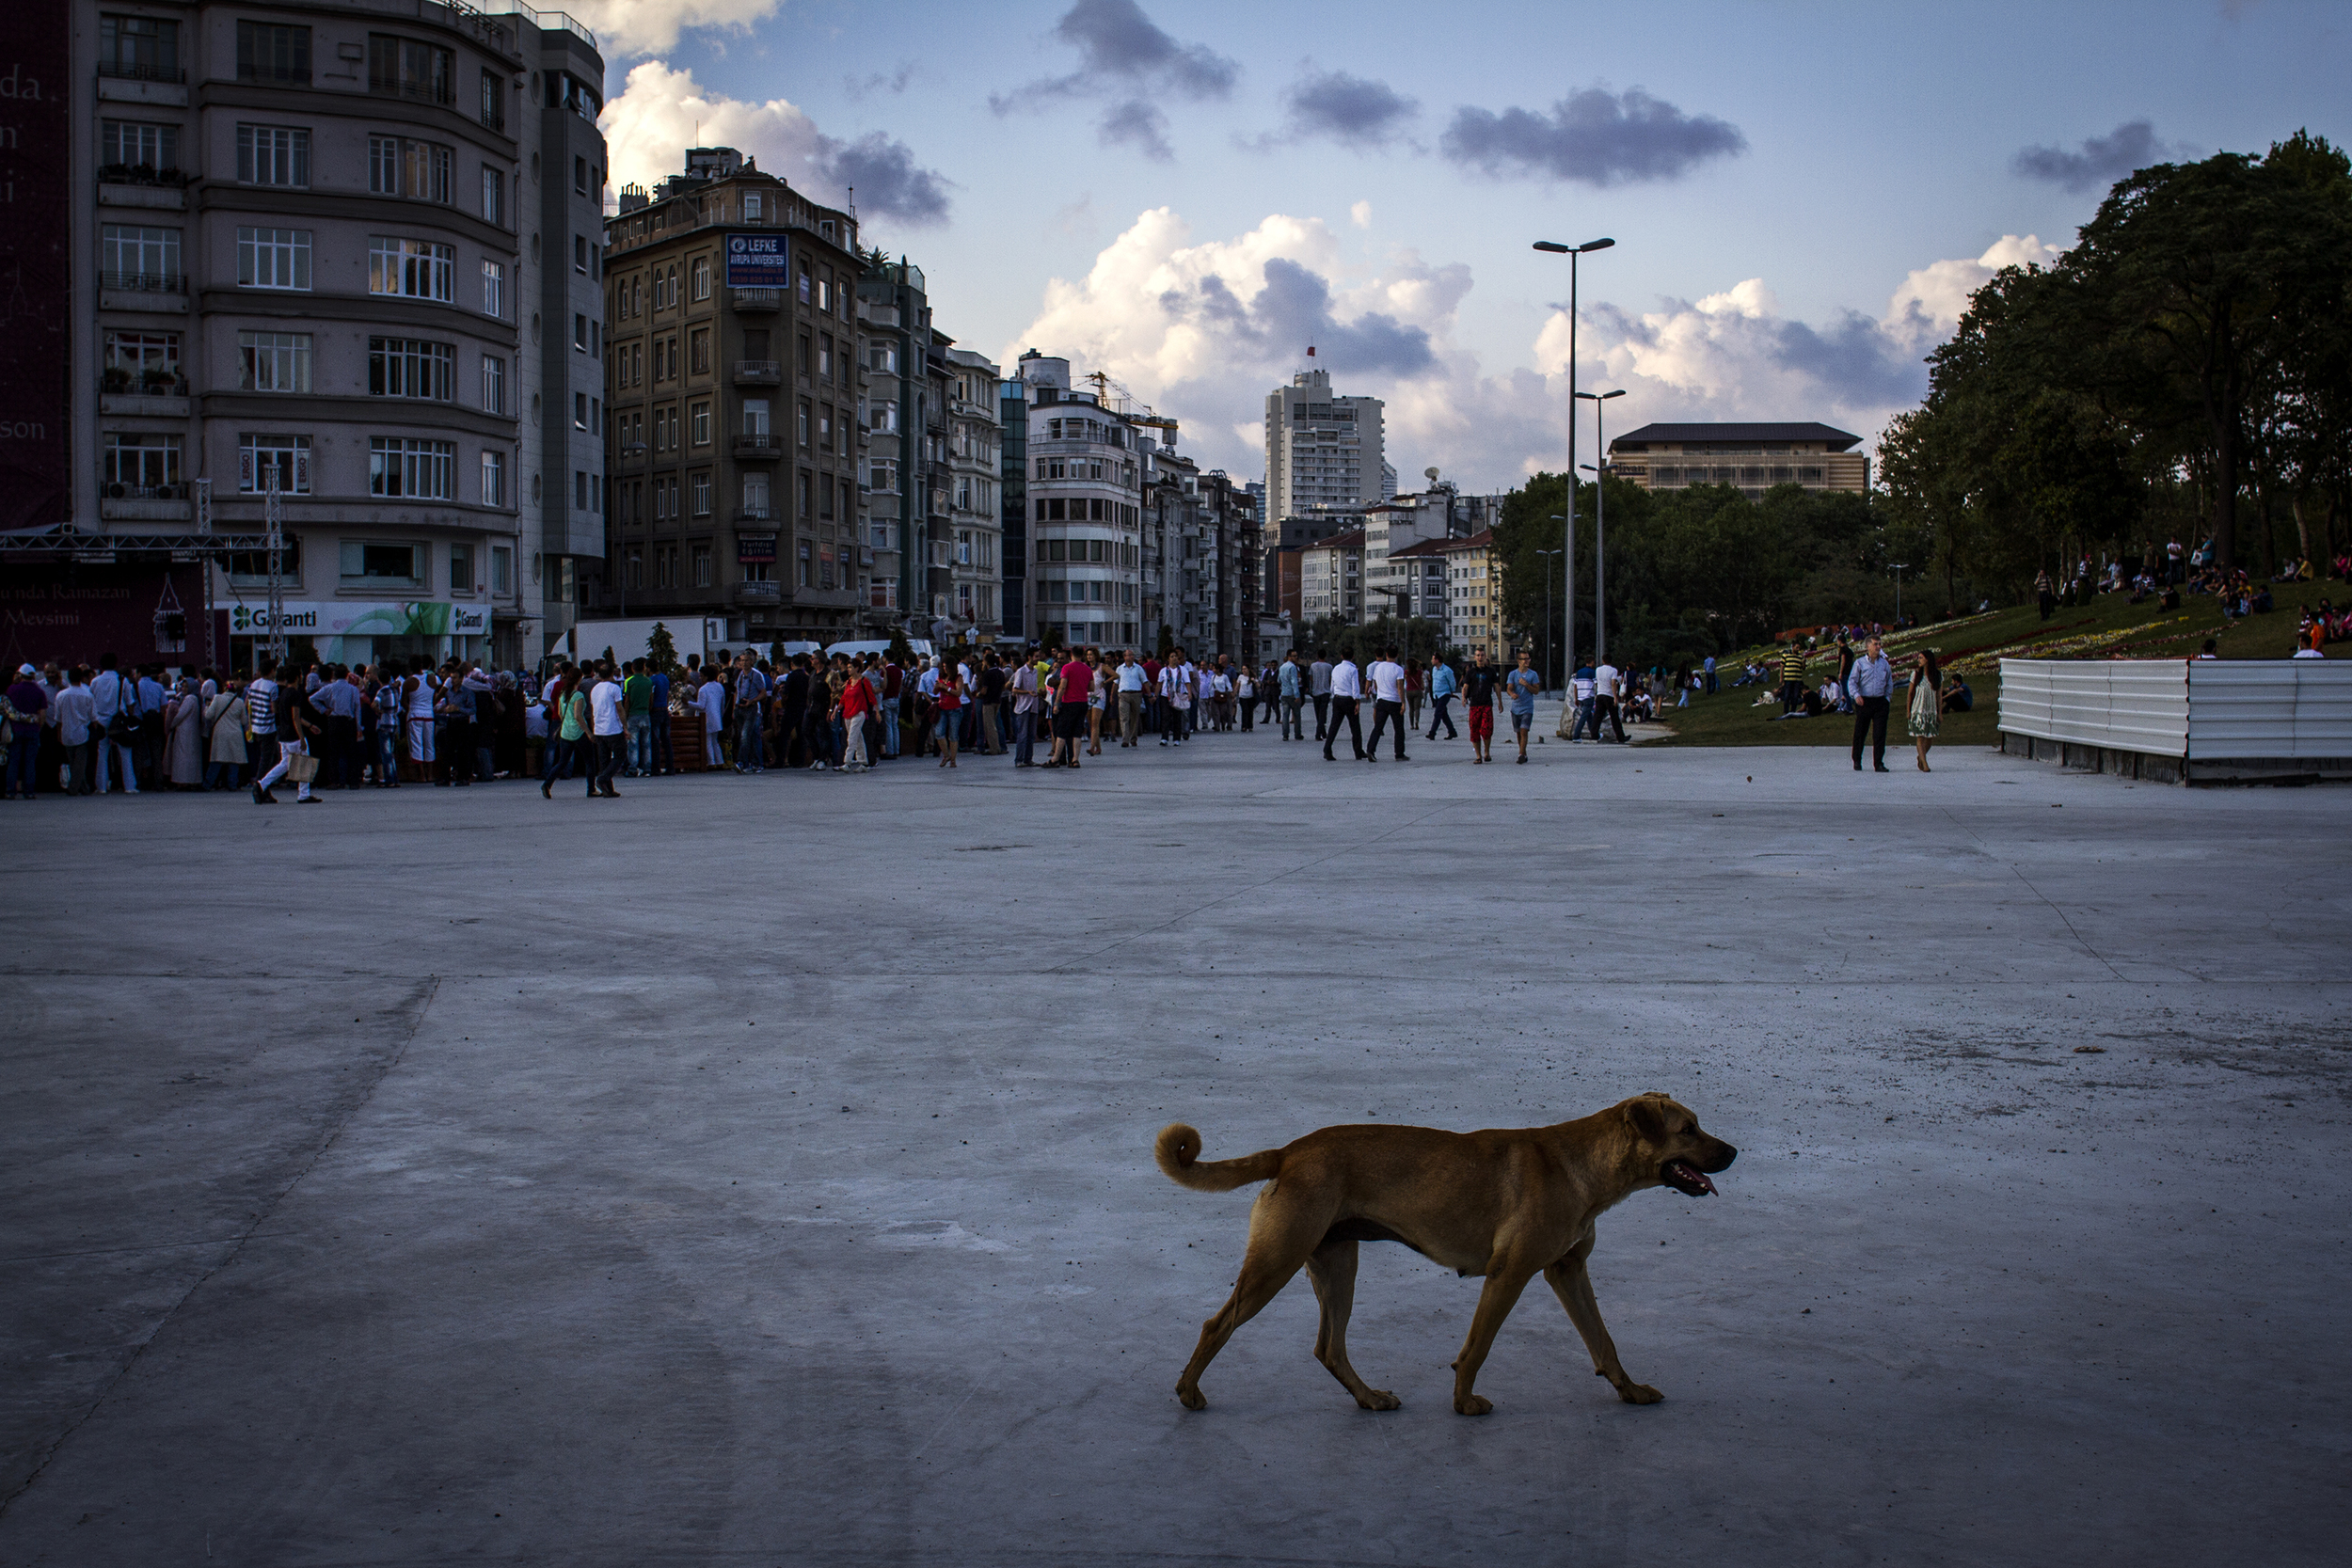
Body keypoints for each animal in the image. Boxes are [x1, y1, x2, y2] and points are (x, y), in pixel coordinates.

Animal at [1152, 1100, 1731, 1419]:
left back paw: (1369, 1398)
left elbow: (1604, 1341)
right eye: (1689, 1130)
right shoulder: (1509, 1274)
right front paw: (1463, 1403)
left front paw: (1629, 1390)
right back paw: (1188, 1392)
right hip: (1276, 1263)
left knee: (1329, 1347)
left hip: (1336, 1267)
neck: (1583, 1165)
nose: (1734, 1152)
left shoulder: (1568, 1272)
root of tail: (1289, 1152)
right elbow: (1477, 1347)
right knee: (1217, 1325)